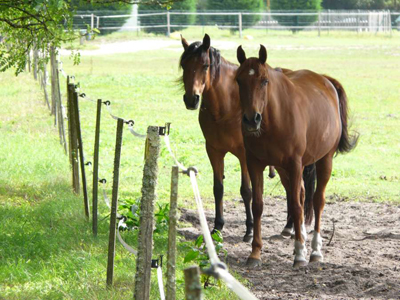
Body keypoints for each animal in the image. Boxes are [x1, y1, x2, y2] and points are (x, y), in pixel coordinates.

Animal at [180, 34, 316, 243]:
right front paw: (217, 227)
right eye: (184, 65)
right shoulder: (214, 151)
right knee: (291, 189)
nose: (191, 99)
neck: (226, 106)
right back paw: (288, 227)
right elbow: (218, 188)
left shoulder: (244, 154)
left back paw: (292, 228)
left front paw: (250, 229)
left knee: (296, 189)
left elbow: (246, 191)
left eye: (205, 65)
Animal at [236, 45, 358, 268]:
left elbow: (295, 205)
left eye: (264, 80)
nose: (251, 119)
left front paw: (301, 253)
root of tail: (325, 80)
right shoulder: (255, 164)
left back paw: (315, 250)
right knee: (301, 195)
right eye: (239, 80)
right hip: (284, 169)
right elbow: (258, 205)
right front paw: (255, 253)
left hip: (324, 160)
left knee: (317, 200)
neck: (274, 118)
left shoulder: (294, 164)